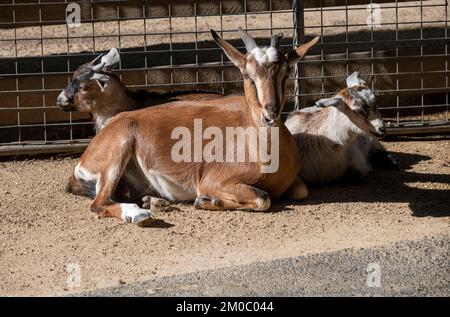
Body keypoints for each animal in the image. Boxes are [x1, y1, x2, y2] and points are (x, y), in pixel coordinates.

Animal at [67, 27, 320, 225]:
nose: (270, 112)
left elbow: (301, 190)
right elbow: (263, 197)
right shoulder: (213, 181)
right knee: (99, 203)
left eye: (285, 73)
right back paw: (140, 215)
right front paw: (207, 201)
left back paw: (153, 202)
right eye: (247, 74)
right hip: (119, 148)